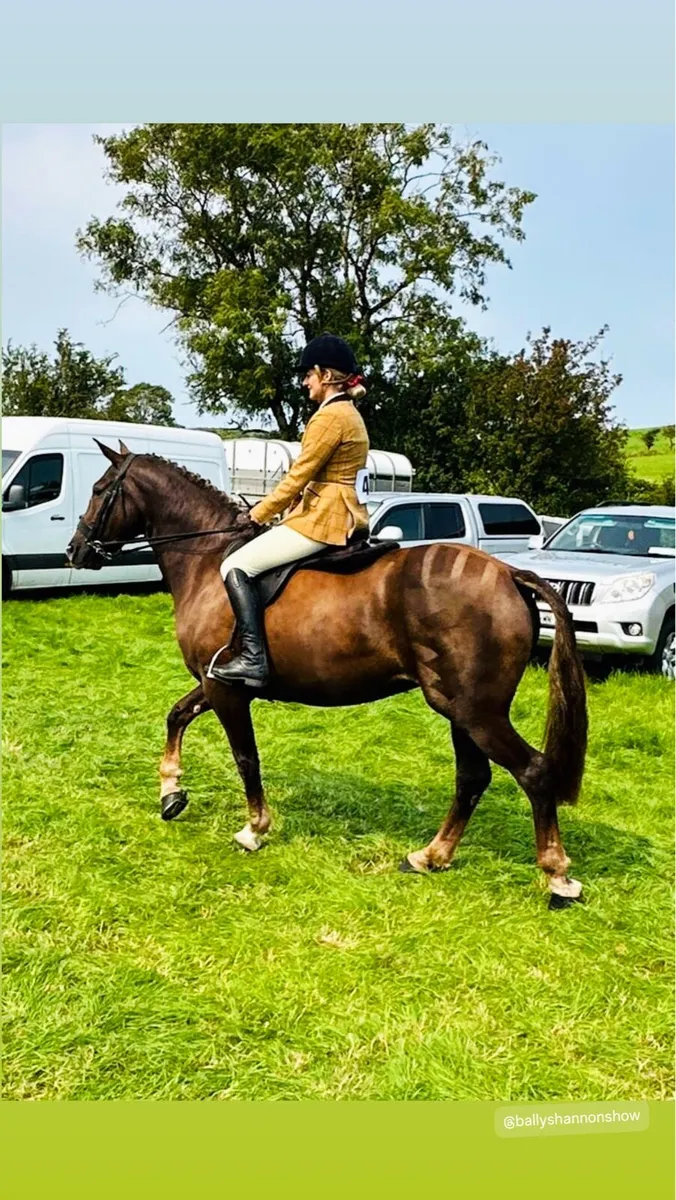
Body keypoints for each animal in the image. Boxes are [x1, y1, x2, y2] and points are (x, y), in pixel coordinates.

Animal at [66, 440, 588, 907]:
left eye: (99, 489)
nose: (75, 550)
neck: (210, 561)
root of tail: (508, 573)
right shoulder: (214, 681)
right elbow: (176, 716)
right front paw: (171, 792)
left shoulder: (225, 689)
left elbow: (245, 757)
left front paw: (254, 829)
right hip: (461, 710)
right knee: (473, 777)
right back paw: (430, 856)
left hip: (477, 712)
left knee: (533, 771)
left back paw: (557, 877)